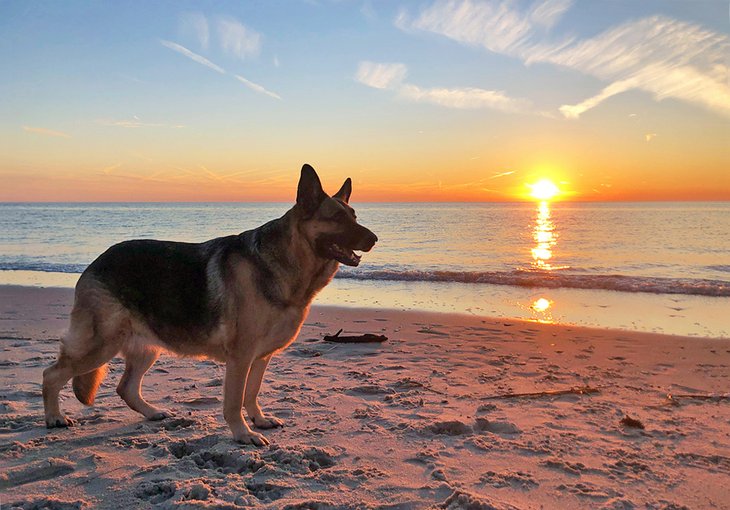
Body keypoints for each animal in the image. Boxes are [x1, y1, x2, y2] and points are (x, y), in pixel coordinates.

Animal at [41, 165, 376, 444]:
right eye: (336, 218)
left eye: (355, 216)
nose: (374, 239)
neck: (287, 259)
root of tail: (96, 261)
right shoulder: (240, 358)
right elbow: (234, 401)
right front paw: (243, 434)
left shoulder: (260, 357)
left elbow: (252, 393)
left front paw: (259, 419)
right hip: (100, 345)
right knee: (51, 374)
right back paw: (54, 417)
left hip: (146, 347)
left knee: (125, 387)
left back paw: (152, 413)